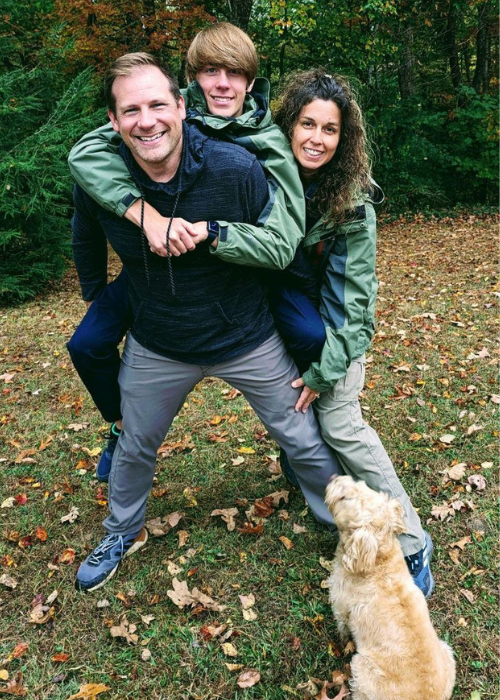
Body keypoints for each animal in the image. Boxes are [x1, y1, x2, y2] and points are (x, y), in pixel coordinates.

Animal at [326, 476, 456, 700]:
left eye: (345, 498)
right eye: (361, 484)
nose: (334, 477)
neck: (380, 560)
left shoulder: (340, 606)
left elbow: (342, 629)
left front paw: (342, 642)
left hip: (361, 667)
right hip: (447, 651)